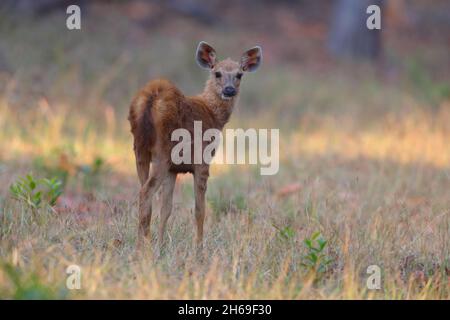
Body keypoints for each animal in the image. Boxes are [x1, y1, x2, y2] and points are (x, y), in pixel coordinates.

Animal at [127, 42, 260, 252]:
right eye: (217, 73)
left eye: (239, 74)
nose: (229, 90)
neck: (213, 115)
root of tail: (152, 95)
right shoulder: (202, 161)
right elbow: (200, 209)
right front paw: (199, 248)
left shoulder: (174, 169)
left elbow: (166, 208)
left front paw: (162, 245)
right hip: (163, 151)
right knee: (146, 192)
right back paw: (143, 246)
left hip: (139, 149)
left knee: (143, 193)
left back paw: (142, 243)